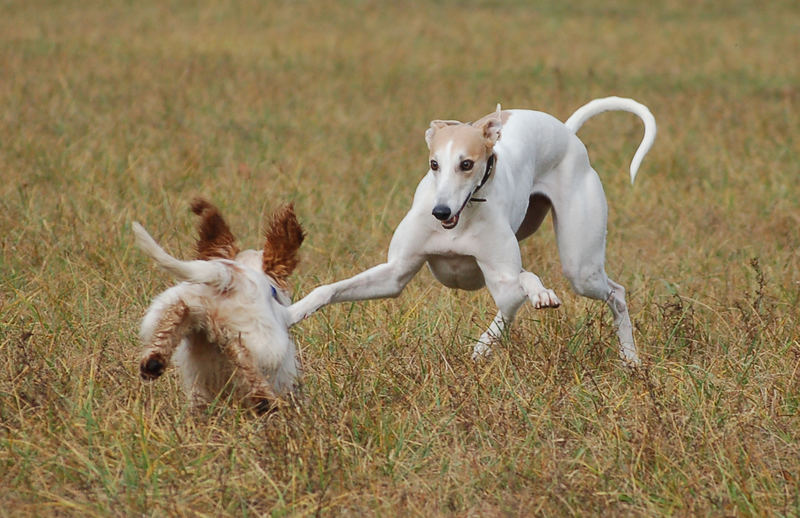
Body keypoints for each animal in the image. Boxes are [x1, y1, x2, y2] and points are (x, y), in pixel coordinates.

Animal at [134, 199, 304, 414]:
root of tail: (228, 276)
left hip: (182, 304)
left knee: (173, 321)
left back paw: (153, 363)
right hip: (256, 338)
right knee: (245, 363)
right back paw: (265, 402)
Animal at [290, 96, 652, 366]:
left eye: (467, 164)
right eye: (434, 164)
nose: (440, 212)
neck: (460, 220)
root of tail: (565, 131)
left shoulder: (502, 276)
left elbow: (524, 279)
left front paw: (540, 293)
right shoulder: (394, 274)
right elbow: (327, 290)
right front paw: (290, 312)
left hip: (581, 268)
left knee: (614, 293)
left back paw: (630, 360)